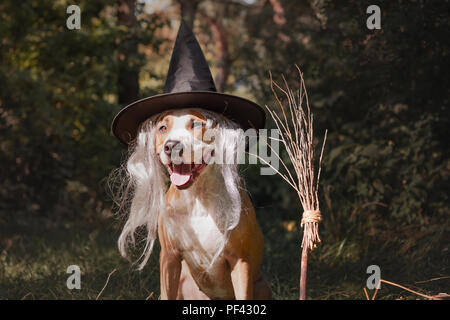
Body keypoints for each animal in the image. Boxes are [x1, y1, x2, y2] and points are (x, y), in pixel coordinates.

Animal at [116, 108, 270, 300]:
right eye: (163, 128)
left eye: (196, 124)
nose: (171, 146)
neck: (197, 197)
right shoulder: (170, 257)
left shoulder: (240, 261)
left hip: (261, 286)